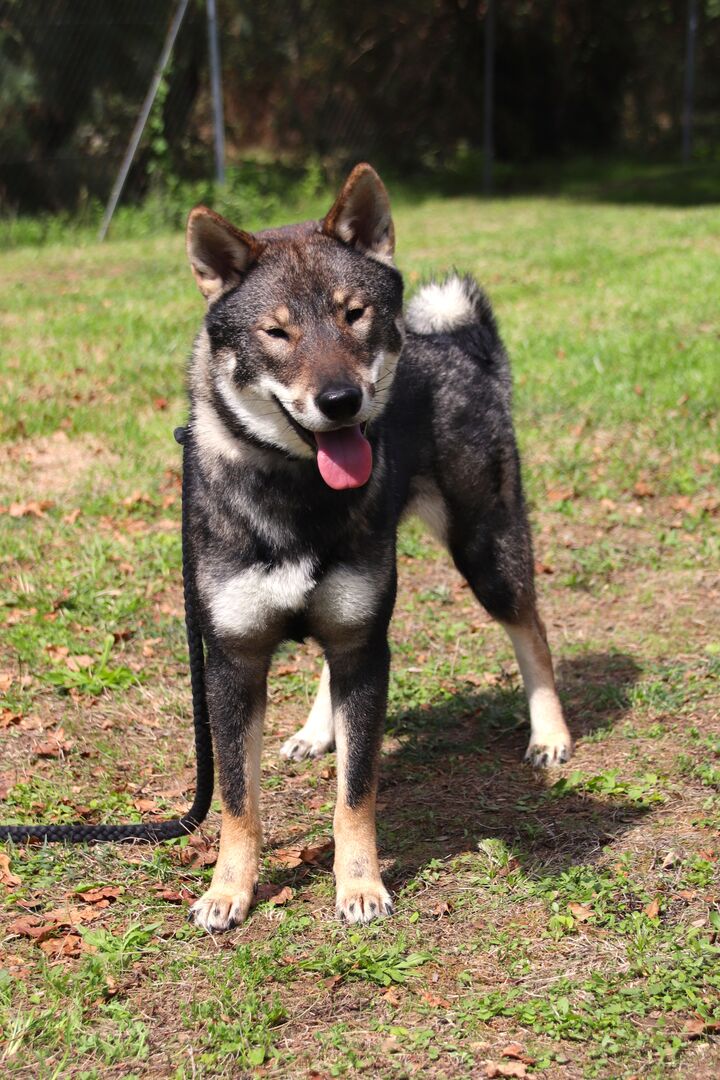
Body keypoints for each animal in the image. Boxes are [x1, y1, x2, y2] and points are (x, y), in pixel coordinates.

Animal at [183, 163, 572, 932]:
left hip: (486, 548)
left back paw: (549, 733)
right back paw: (317, 730)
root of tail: (460, 342)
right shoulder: (234, 661)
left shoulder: (366, 650)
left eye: (354, 315)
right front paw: (228, 890)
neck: (298, 494)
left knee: (531, 630)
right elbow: (239, 802)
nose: (340, 400)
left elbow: (355, 793)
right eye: (277, 332)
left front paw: (359, 884)